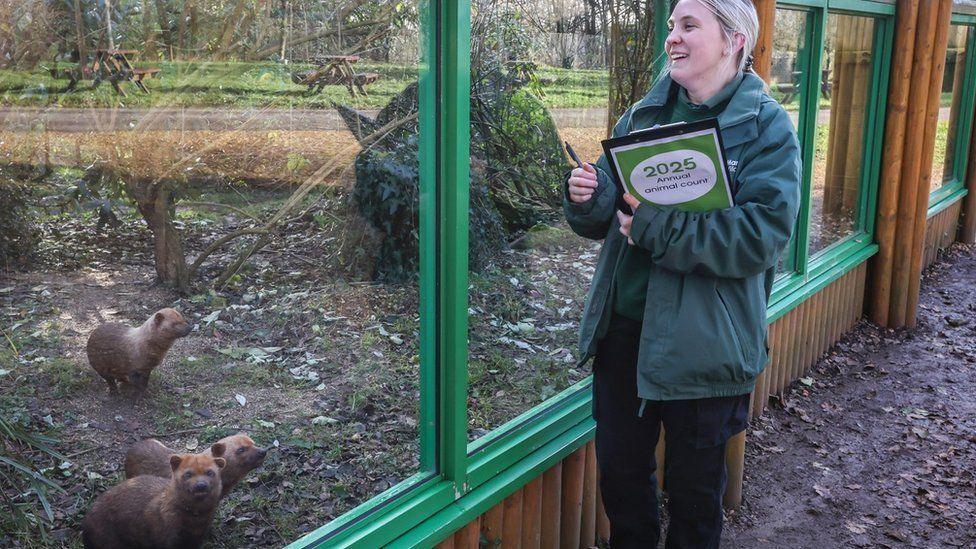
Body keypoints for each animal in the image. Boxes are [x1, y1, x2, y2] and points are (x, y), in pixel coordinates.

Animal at [81, 444, 226, 548]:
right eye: (188, 474)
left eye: (210, 472)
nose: (201, 485)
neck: (194, 524)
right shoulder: (166, 536)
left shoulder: (198, 537)